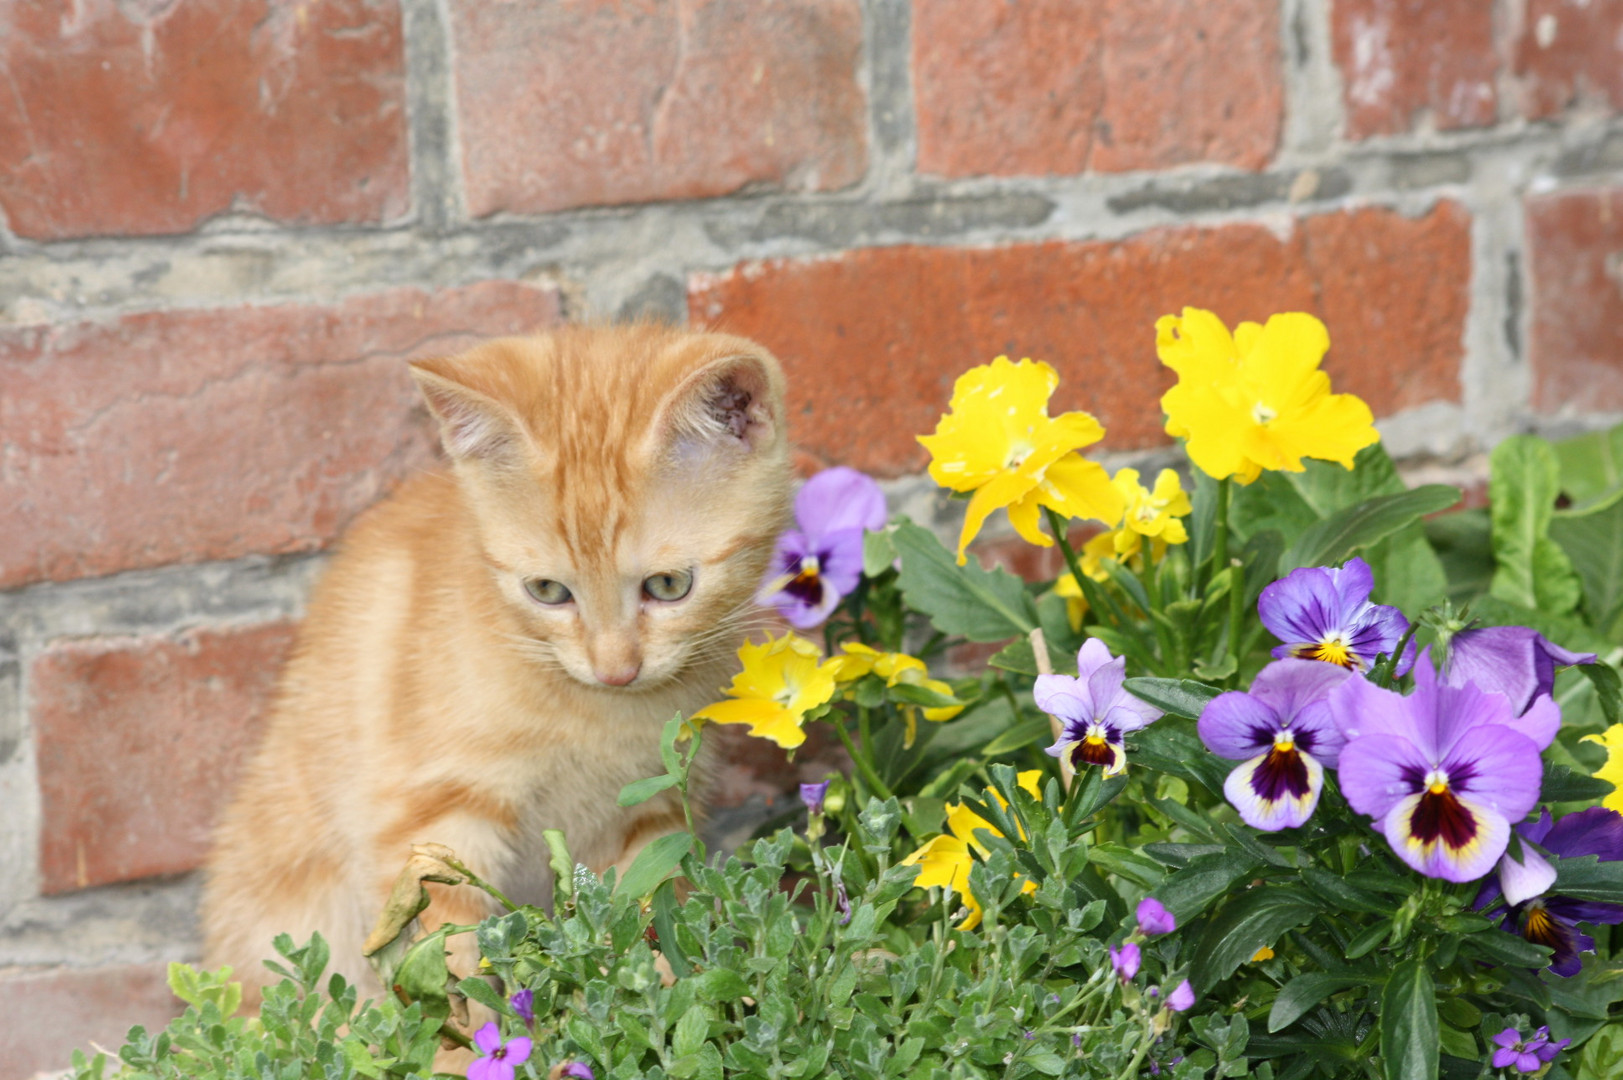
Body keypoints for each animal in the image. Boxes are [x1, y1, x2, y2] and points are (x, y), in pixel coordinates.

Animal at [202, 324, 792, 1000]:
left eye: (669, 585)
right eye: (548, 591)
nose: (615, 669)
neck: (595, 711)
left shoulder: (653, 811)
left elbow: (649, 918)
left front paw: (666, 996)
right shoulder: (433, 821)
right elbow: (452, 963)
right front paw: (489, 1028)